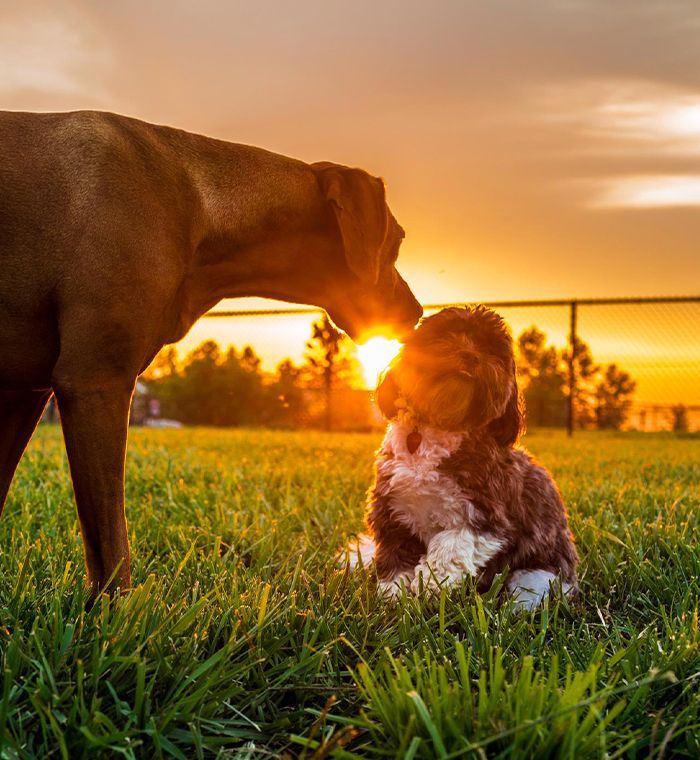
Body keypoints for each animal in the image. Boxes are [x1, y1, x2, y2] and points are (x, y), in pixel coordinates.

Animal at [0, 110, 422, 604]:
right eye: (397, 241)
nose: (416, 312)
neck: (198, 203)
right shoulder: (96, 380)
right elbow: (111, 544)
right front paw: (116, 614)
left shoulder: (22, 393)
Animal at [356, 306, 580, 608]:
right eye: (445, 334)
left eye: (491, 348)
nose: (471, 356)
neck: (438, 428)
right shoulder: (392, 511)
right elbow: (395, 556)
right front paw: (394, 593)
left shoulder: (488, 516)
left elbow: (450, 546)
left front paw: (429, 585)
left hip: (540, 574)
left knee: (529, 591)